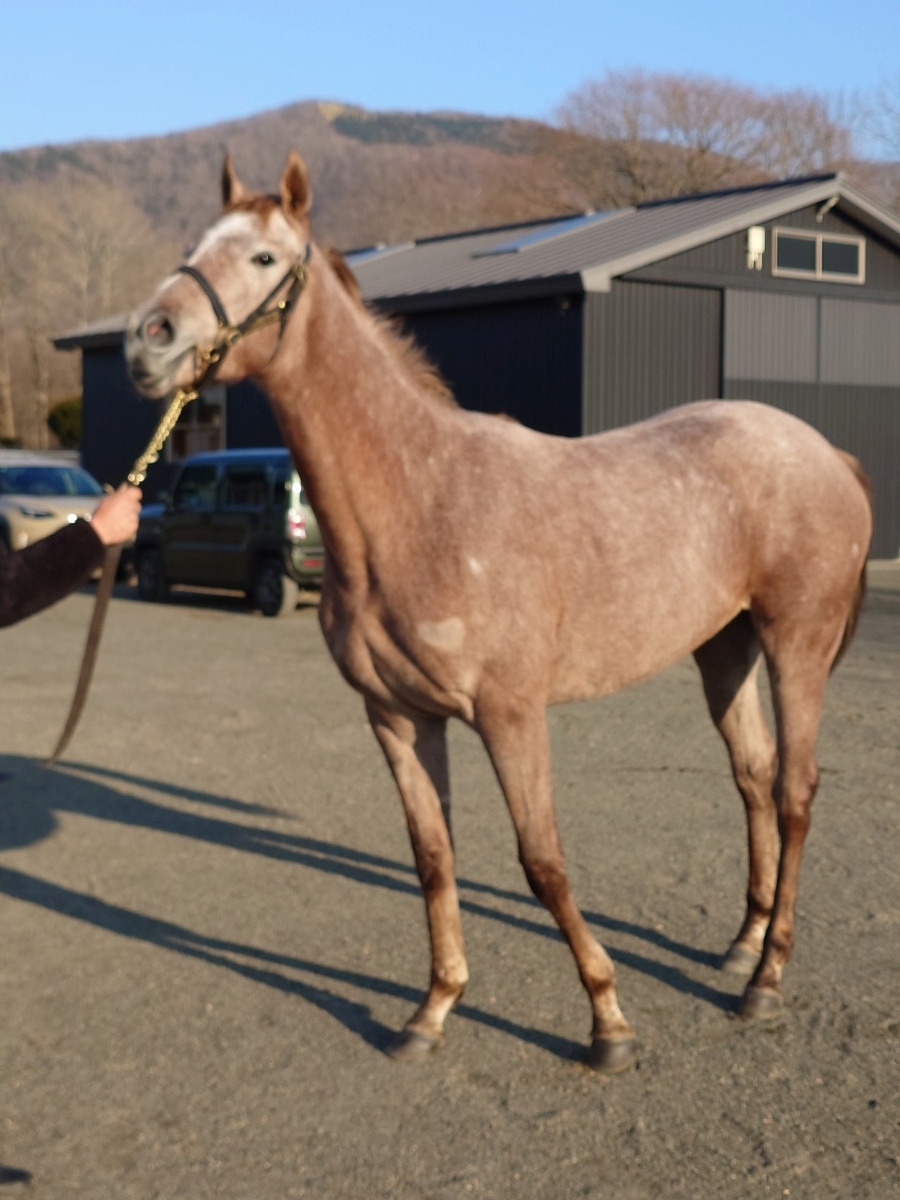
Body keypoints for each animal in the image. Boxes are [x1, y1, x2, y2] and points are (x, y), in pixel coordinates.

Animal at [125, 152, 872, 1073]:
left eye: (263, 258)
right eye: (196, 243)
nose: (149, 338)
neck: (419, 500)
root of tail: (826, 451)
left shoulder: (511, 715)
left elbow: (541, 861)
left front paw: (607, 1020)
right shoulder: (398, 717)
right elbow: (432, 859)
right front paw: (432, 1009)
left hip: (796, 641)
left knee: (797, 791)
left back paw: (765, 980)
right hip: (723, 649)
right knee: (755, 778)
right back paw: (741, 945)